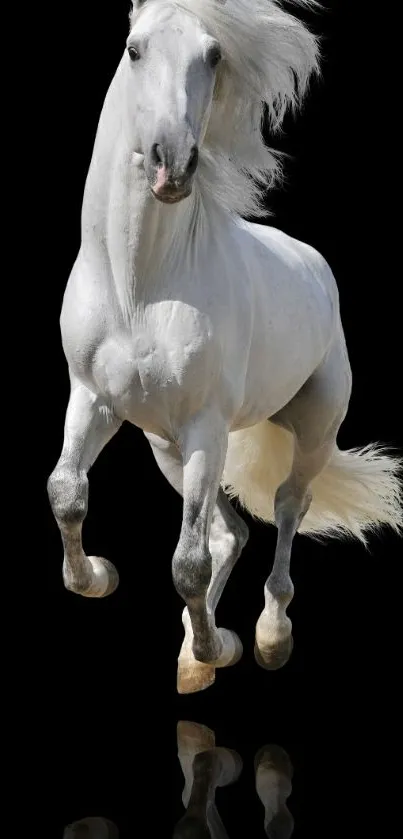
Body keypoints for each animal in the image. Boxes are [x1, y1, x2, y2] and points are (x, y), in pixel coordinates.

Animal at [48, 0, 403, 696]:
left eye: (213, 56)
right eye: (133, 49)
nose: (172, 165)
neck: (141, 286)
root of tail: (315, 264)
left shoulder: (206, 426)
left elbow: (185, 563)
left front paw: (222, 648)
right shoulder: (93, 399)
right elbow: (67, 492)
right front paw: (100, 578)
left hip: (308, 431)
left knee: (288, 509)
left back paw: (265, 638)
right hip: (165, 446)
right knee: (230, 532)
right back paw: (196, 654)